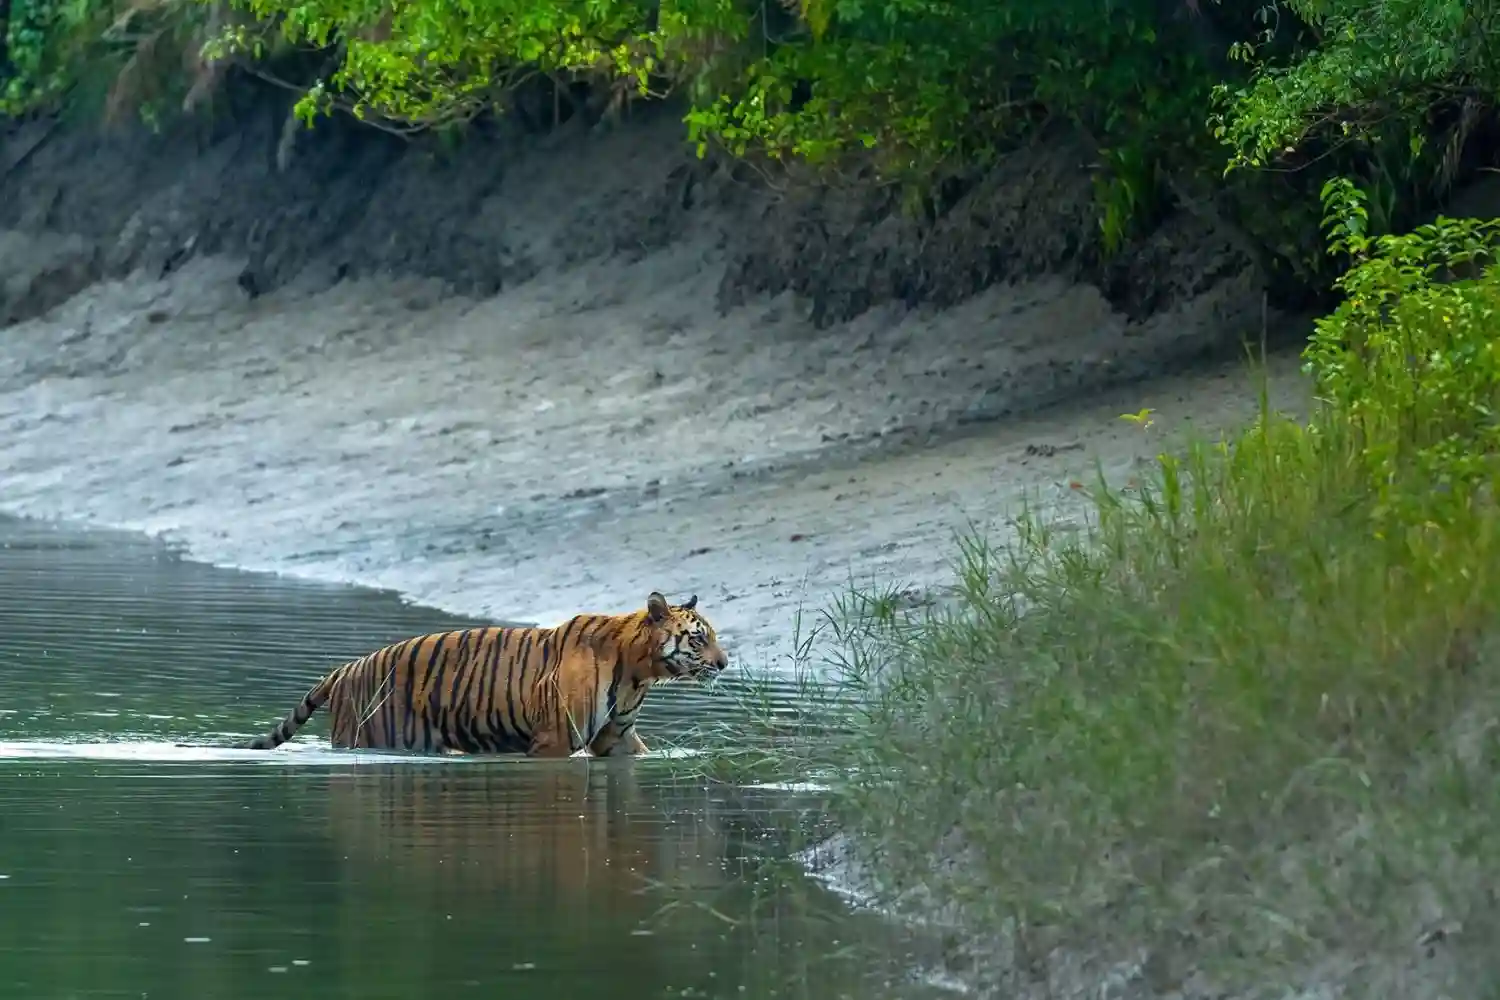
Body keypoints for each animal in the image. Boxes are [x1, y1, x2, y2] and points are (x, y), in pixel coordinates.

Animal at [241, 591, 728, 757]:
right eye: (699, 639)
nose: (725, 663)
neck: (638, 671)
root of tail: (346, 668)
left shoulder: (618, 739)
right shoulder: (553, 740)